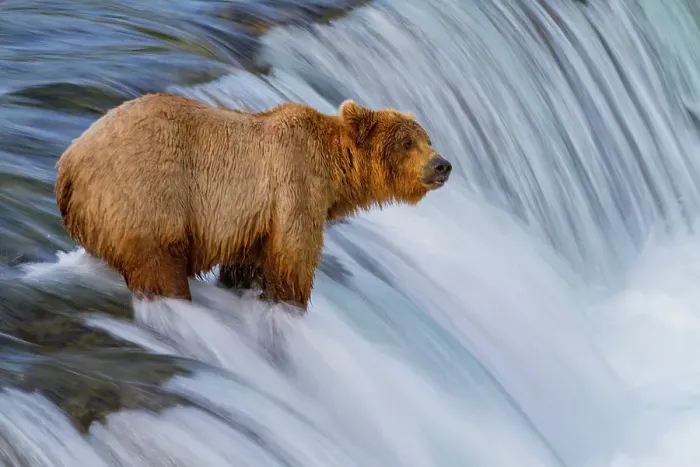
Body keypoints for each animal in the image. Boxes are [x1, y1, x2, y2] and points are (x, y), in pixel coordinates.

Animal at [54, 93, 451, 311]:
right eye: (406, 143)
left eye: (427, 139)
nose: (442, 165)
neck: (335, 172)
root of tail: (68, 162)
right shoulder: (296, 185)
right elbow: (293, 259)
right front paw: (288, 305)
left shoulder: (255, 221)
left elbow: (248, 264)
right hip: (147, 196)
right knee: (160, 269)